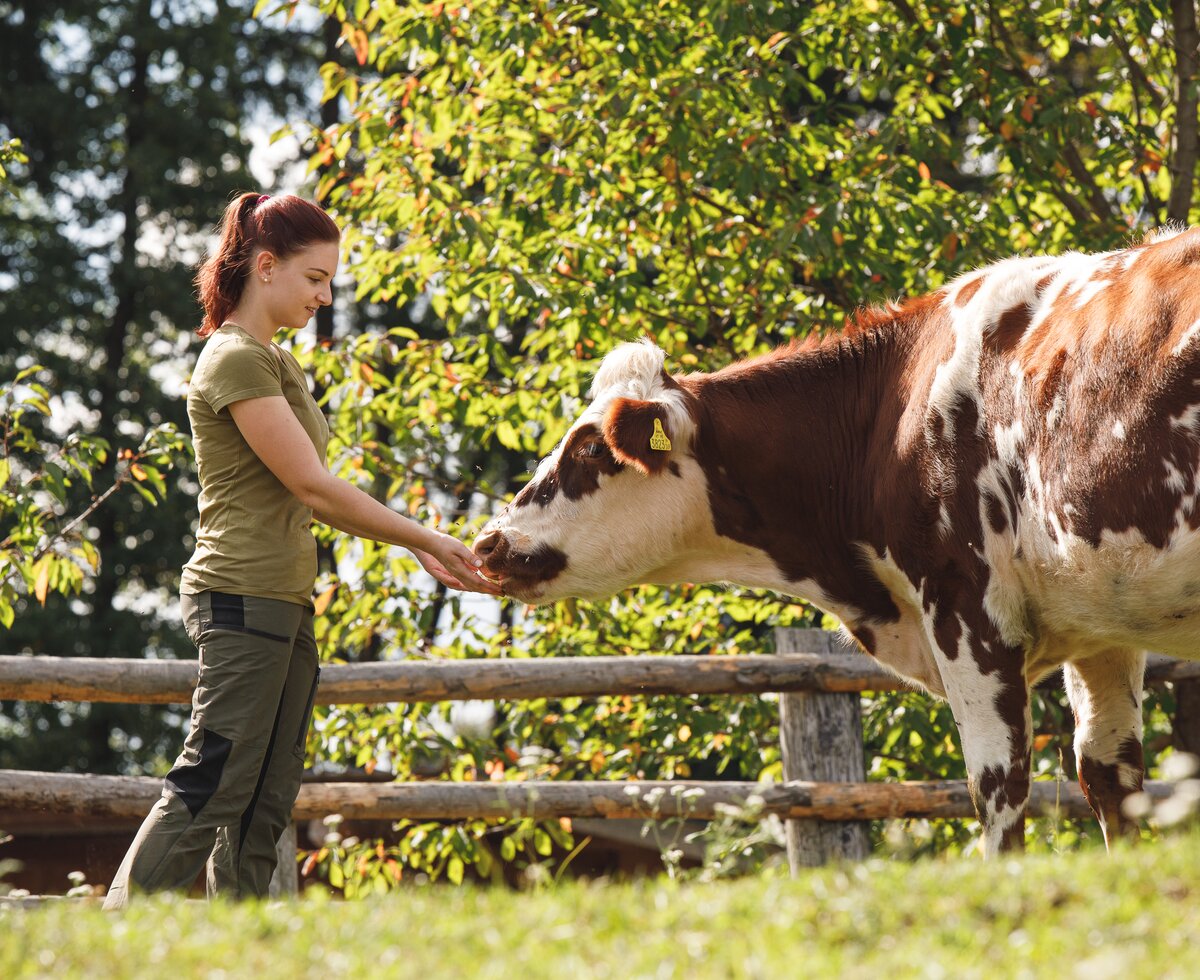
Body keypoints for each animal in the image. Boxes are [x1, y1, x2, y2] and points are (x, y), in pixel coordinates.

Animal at [473, 227, 1200, 856]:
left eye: (591, 448)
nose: (487, 542)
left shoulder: (965, 606)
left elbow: (997, 786)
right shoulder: (1100, 621)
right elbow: (1110, 779)